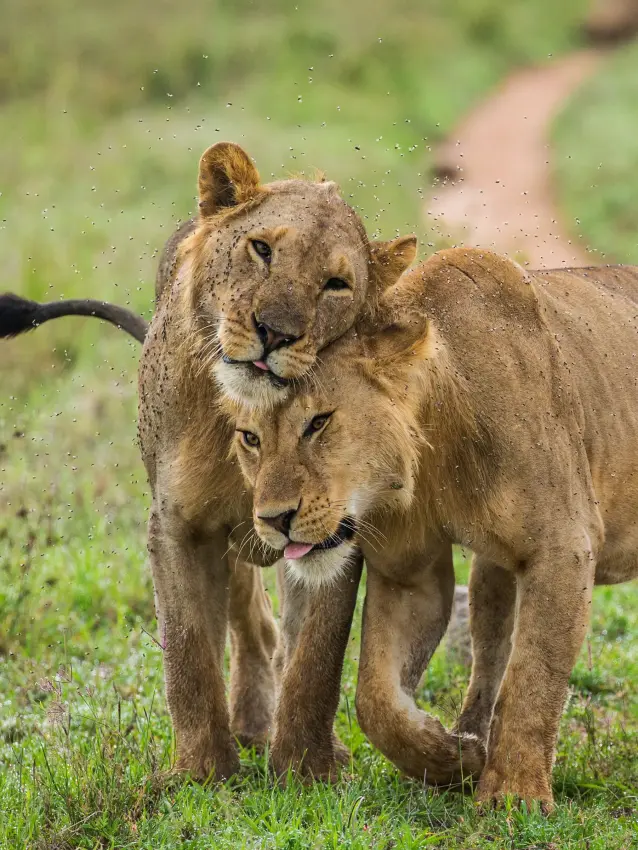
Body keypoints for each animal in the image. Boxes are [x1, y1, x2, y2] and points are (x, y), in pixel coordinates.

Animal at [0, 140, 417, 781]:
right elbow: (189, 650)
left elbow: (316, 658)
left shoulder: (335, 525)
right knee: (249, 622)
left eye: (336, 284)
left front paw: (306, 766)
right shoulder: (178, 524)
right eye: (262, 249)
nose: (275, 332)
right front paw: (202, 771)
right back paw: (248, 726)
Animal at [230, 247, 638, 808]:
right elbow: (376, 699)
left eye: (318, 423)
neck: (438, 445)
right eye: (250, 438)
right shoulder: (409, 573)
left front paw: (514, 796)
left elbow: (534, 677)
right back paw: (472, 732)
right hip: (493, 571)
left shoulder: (564, 547)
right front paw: (452, 758)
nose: (273, 520)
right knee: (490, 651)